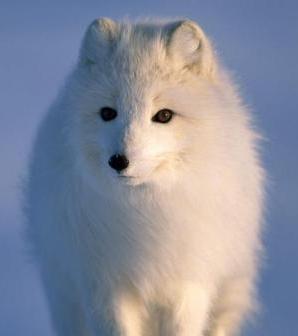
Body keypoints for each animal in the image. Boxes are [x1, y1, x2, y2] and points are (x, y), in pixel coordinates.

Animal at [24, 18, 264, 336]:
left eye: (164, 115)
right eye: (107, 113)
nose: (119, 161)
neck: (146, 210)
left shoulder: (188, 286)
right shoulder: (105, 286)